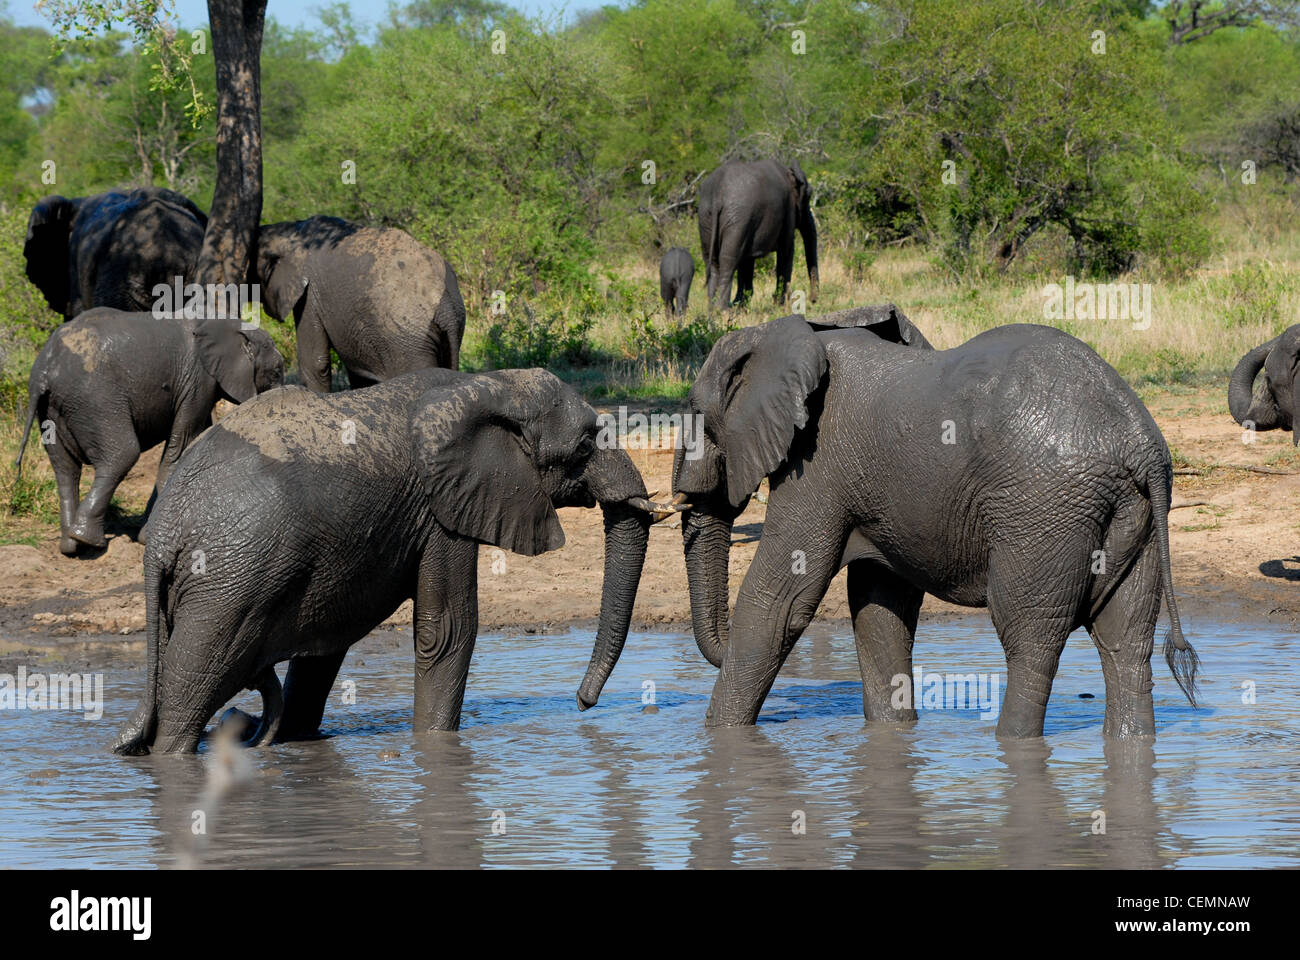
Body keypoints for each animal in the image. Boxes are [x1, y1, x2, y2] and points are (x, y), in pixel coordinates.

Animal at [14, 308, 284, 555]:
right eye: (277, 371)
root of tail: (44, 370)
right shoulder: (197, 380)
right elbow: (183, 444)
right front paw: (148, 538)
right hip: (95, 399)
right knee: (122, 454)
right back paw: (89, 541)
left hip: (52, 410)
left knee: (64, 467)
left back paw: (70, 545)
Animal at [111, 368, 683, 755]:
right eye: (585, 445)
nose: (583, 704)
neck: (487, 387)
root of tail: (161, 534)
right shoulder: (442, 510)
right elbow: (447, 630)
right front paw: (433, 748)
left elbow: (326, 648)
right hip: (229, 586)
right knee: (188, 693)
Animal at [671, 307, 1199, 739]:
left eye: (696, 414)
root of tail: (1139, 444)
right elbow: (880, 605)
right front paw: (893, 735)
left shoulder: (817, 462)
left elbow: (780, 601)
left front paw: (719, 737)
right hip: (1134, 518)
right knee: (1126, 640)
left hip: (1043, 511)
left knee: (1029, 637)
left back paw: (1011, 741)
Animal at [697, 158, 819, 310]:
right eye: (808, 196)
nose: (813, 300)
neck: (790, 173)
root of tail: (716, 194)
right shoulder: (788, 211)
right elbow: (786, 251)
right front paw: (779, 305)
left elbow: (747, 261)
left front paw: (741, 307)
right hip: (737, 217)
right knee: (728, 260)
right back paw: (723, 310)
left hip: (707, 217)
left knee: (713, 261)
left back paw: (713, 310)